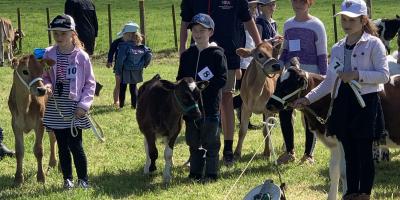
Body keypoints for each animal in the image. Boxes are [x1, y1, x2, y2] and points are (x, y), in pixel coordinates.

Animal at [7, 55, 57, 186]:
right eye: (25, 71)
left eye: (41, 71)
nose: (42, 90)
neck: (25, 107)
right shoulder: (15, 124)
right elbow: (19, 151)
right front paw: (18, 178)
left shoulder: (40, 123)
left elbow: (38, 150)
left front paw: (41, 177)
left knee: (54, 138)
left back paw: (55, 164)